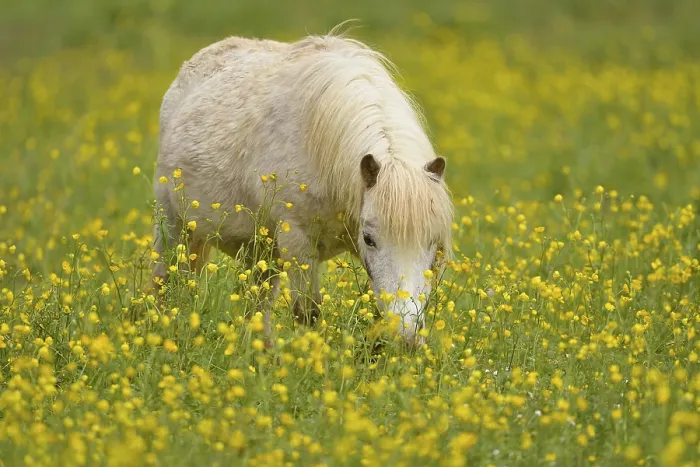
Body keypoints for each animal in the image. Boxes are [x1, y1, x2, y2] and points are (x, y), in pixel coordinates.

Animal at [151, 29, 454, 347]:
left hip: (259, 252)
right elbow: (307, 312)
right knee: (162, 283)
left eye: (433, 242)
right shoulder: (298, 243)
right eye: (369, 239)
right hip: (172, 225)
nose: (407, 337)